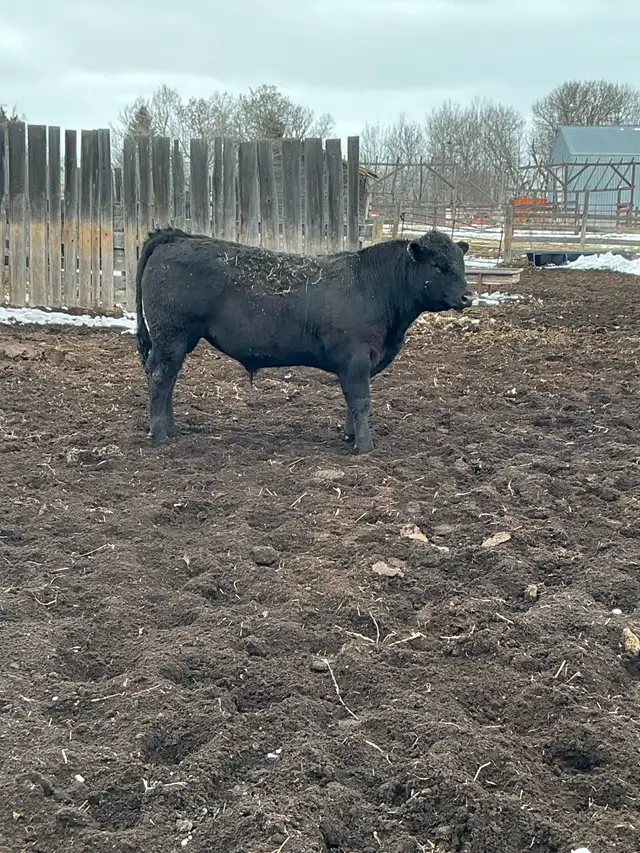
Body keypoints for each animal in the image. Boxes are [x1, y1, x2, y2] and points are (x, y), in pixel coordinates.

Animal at [135, 226, 473, 453]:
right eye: (438, 266)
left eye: (461, 264)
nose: (468, 296)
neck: (374, 287)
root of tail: (177, 236)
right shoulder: (355, 358)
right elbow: (361, 400)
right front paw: (364, 446)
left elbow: (352, 402)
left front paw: (350, 436)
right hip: (172, 337)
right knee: (160, 378)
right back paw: (160, 435)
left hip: (175, 342)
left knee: (168, 380)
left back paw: (172, 429)